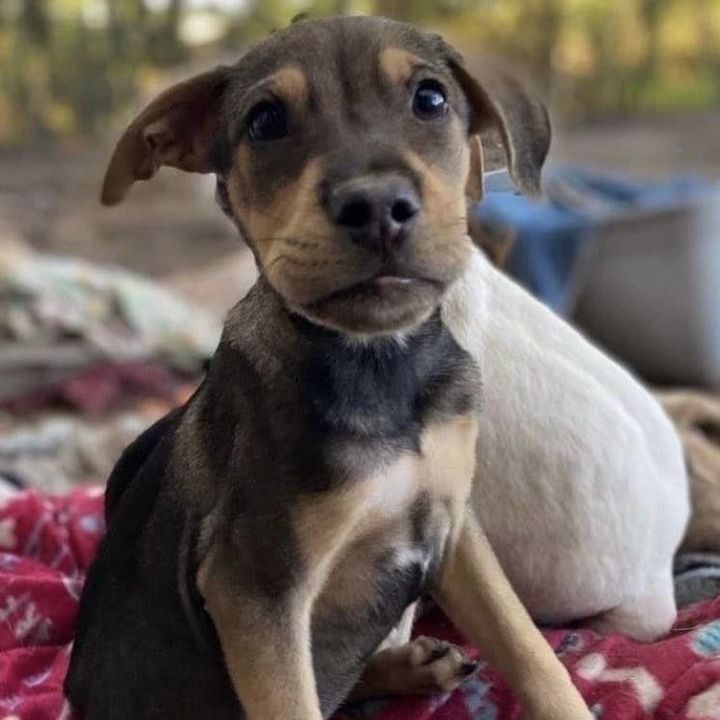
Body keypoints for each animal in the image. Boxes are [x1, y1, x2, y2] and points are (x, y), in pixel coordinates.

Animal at [64, 14, 592, 720]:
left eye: (431, 99)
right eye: (264, 121)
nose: (376, 207)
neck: (379, 362)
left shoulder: (454, 524)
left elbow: (528, 646)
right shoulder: (256, 587)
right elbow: (295, 700)